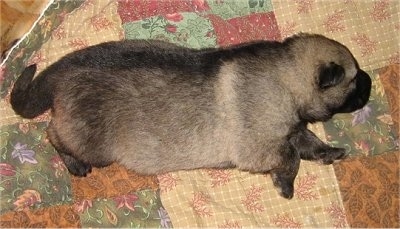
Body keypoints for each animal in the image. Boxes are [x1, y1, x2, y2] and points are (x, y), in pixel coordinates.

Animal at [10, 33, 372, 199]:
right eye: (355, 79)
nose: (369, 83)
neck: (287, 77)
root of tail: (65, 69)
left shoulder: (291, 128)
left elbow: (307, 141)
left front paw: (328, 152)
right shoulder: (260, 148)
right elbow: (291, 157)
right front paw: (285, 183)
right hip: (93, 143)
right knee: (53, 134)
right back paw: (73, 163)